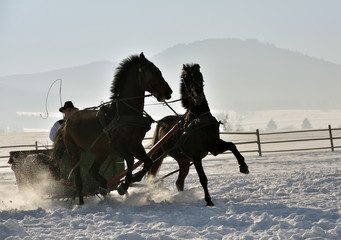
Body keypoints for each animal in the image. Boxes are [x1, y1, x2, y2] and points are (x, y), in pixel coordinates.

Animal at [57, 52, 173, 204]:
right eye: (150, 72)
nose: (168, 91)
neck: (124, 112)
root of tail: (67, 122)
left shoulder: (135, 145)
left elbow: (148, 161)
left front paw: (133, 178)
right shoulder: (118, 146)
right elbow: (130, 160)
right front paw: (123, 186)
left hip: (101, 152)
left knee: (92, 171)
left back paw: (103, 186)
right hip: (74, 151)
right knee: (78, 180)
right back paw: (82, 203)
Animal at [148, 63, 247, 206]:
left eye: (200, 75)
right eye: (186, 78)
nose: (197, 96)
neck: (199, 118)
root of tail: (160, 122)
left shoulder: (214, 146)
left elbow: (232, 145)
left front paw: (243, 166)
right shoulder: (196, 155)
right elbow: (203, 178)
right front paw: (209, 200)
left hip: (183, 161)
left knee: (179, 182)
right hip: (158, 155)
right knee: (150, 177)